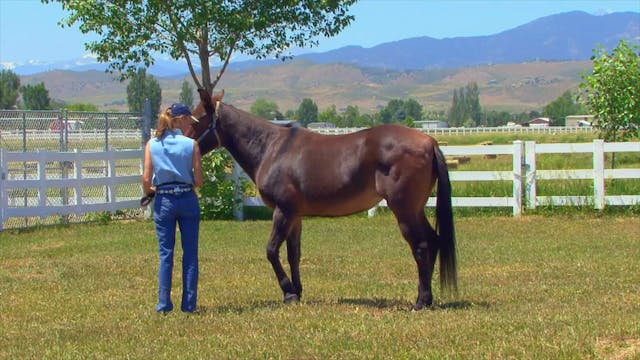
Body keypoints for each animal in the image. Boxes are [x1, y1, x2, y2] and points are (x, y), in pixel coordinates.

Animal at [184, 88, 456, 310]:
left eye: (195, 120)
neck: (272, 148)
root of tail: (429, 141)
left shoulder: (282, 211)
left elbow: (271, 250)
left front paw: (288, 292)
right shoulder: (294, 215)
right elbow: (293, 253)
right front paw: (297, 292)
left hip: (404, 210)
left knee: (421, 246)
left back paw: (420, 301)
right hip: (415, 209)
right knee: (433, 242)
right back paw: (426, 298)